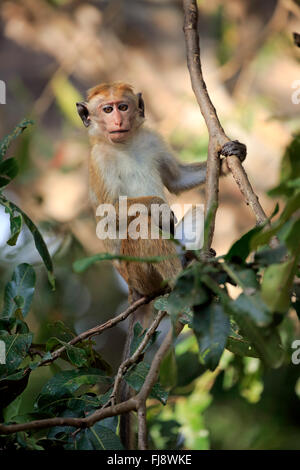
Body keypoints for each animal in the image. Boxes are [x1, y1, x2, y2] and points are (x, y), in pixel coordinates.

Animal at [76, 81, 247, 448]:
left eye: (123, 106)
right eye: (106, 110)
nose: (118, 121)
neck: (124, 144)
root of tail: (134, 291)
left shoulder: (151, 140)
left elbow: (177, 179)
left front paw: (232, 152)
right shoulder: (99, 160)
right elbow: (109, 216)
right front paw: (155, 205)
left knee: (197, 211)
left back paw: (195, 262)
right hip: (138, 273)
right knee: (141, 224)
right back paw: (182, 281)